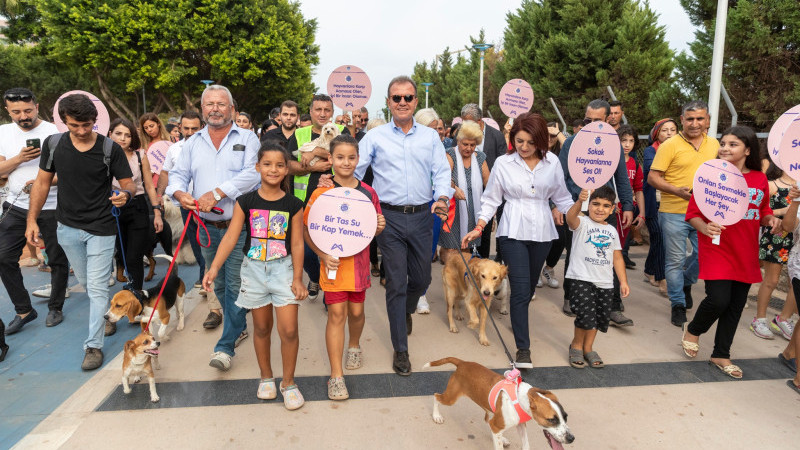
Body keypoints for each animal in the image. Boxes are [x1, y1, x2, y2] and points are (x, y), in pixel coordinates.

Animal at [424, 358, 576, 450]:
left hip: (490, 411)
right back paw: (436, 416)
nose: (571, 438)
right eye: (551, 420)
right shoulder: (500, 424)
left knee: (488, 421)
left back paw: (502, 438)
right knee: (436, 396)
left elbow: (526, 444)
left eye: (566, 417)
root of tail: (462, 363)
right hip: (451, 398)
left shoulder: (520, 425)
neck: (521, 398)